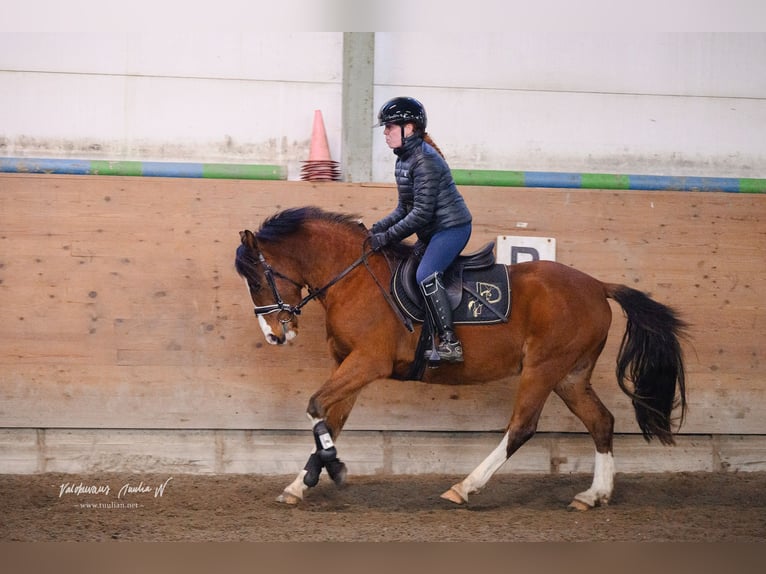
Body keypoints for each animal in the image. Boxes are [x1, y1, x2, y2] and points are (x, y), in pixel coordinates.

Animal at [235, 206, 688, 510]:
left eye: (257, 279)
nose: (275, 335)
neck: (353, 277)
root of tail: (597, 285)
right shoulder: (348, 365)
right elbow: (329, 420)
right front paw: (302, 482)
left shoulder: (367, 363)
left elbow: (315, 406)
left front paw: (331, 470)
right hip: (569, 375)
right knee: (601, 421)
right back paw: (594, 494)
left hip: (543, 368)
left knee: (522, 427)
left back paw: (465, 487)